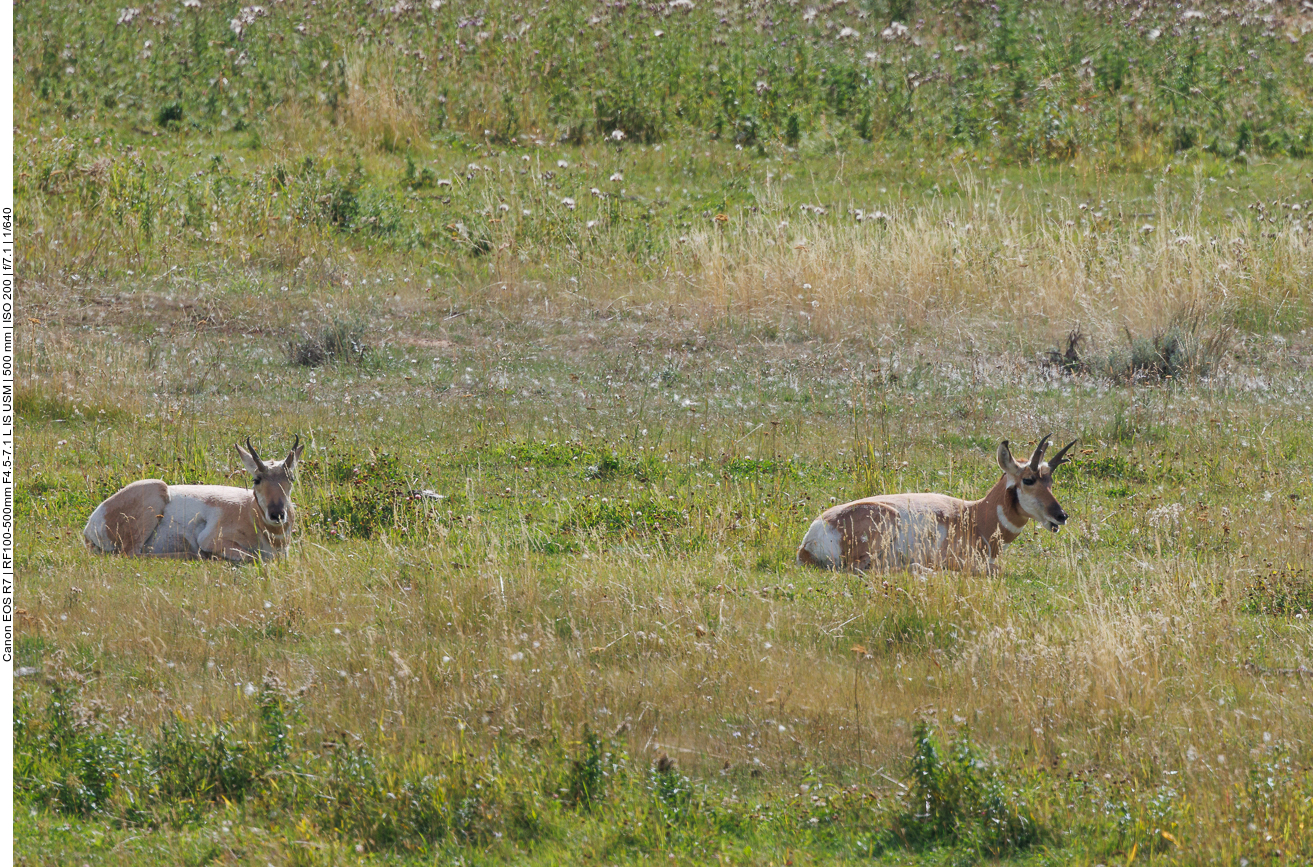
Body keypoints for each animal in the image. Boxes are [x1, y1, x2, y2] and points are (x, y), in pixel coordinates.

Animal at [82, 433, 304, 562]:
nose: (277, 514)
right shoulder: (212, 540)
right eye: (257, 479)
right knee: (131, 554)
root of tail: (91, 524)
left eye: (290, 477)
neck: (250, 510)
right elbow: (254, 557)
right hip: (156, 491)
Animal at [793, 433, 1071, 575]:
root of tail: (811, 537)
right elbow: (996, 569)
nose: (1061, 515)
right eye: (1028, 479)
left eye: (1050, 479)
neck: (975, 514)